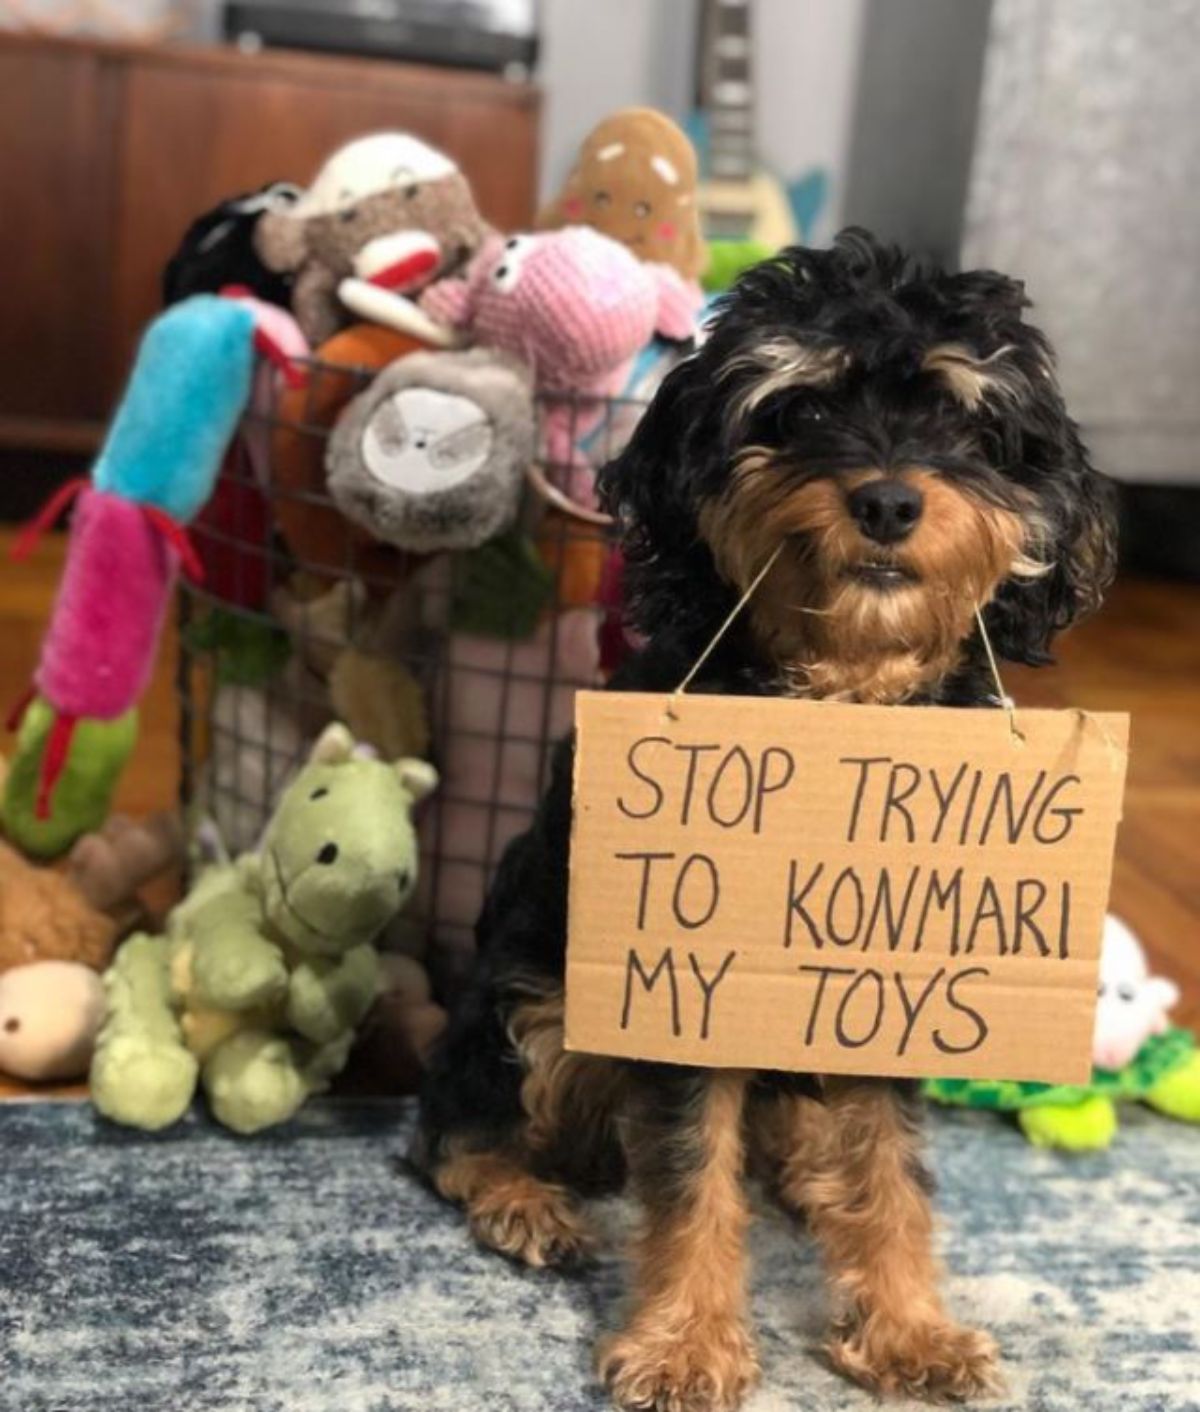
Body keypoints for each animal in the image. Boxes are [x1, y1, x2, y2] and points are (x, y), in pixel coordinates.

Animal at [412, 234, 1112, 1412]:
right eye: (800, 409)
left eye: (965, 422)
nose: (888, 500)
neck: (841, 687)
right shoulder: (680, 997)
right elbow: (693, 1177)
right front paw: (686, 1344)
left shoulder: (888, 989)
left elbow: (893, 1171)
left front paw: (911, 1328)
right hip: (539, 1004)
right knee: (455, 1123)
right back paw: (522, 1197)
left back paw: (809, 1176)